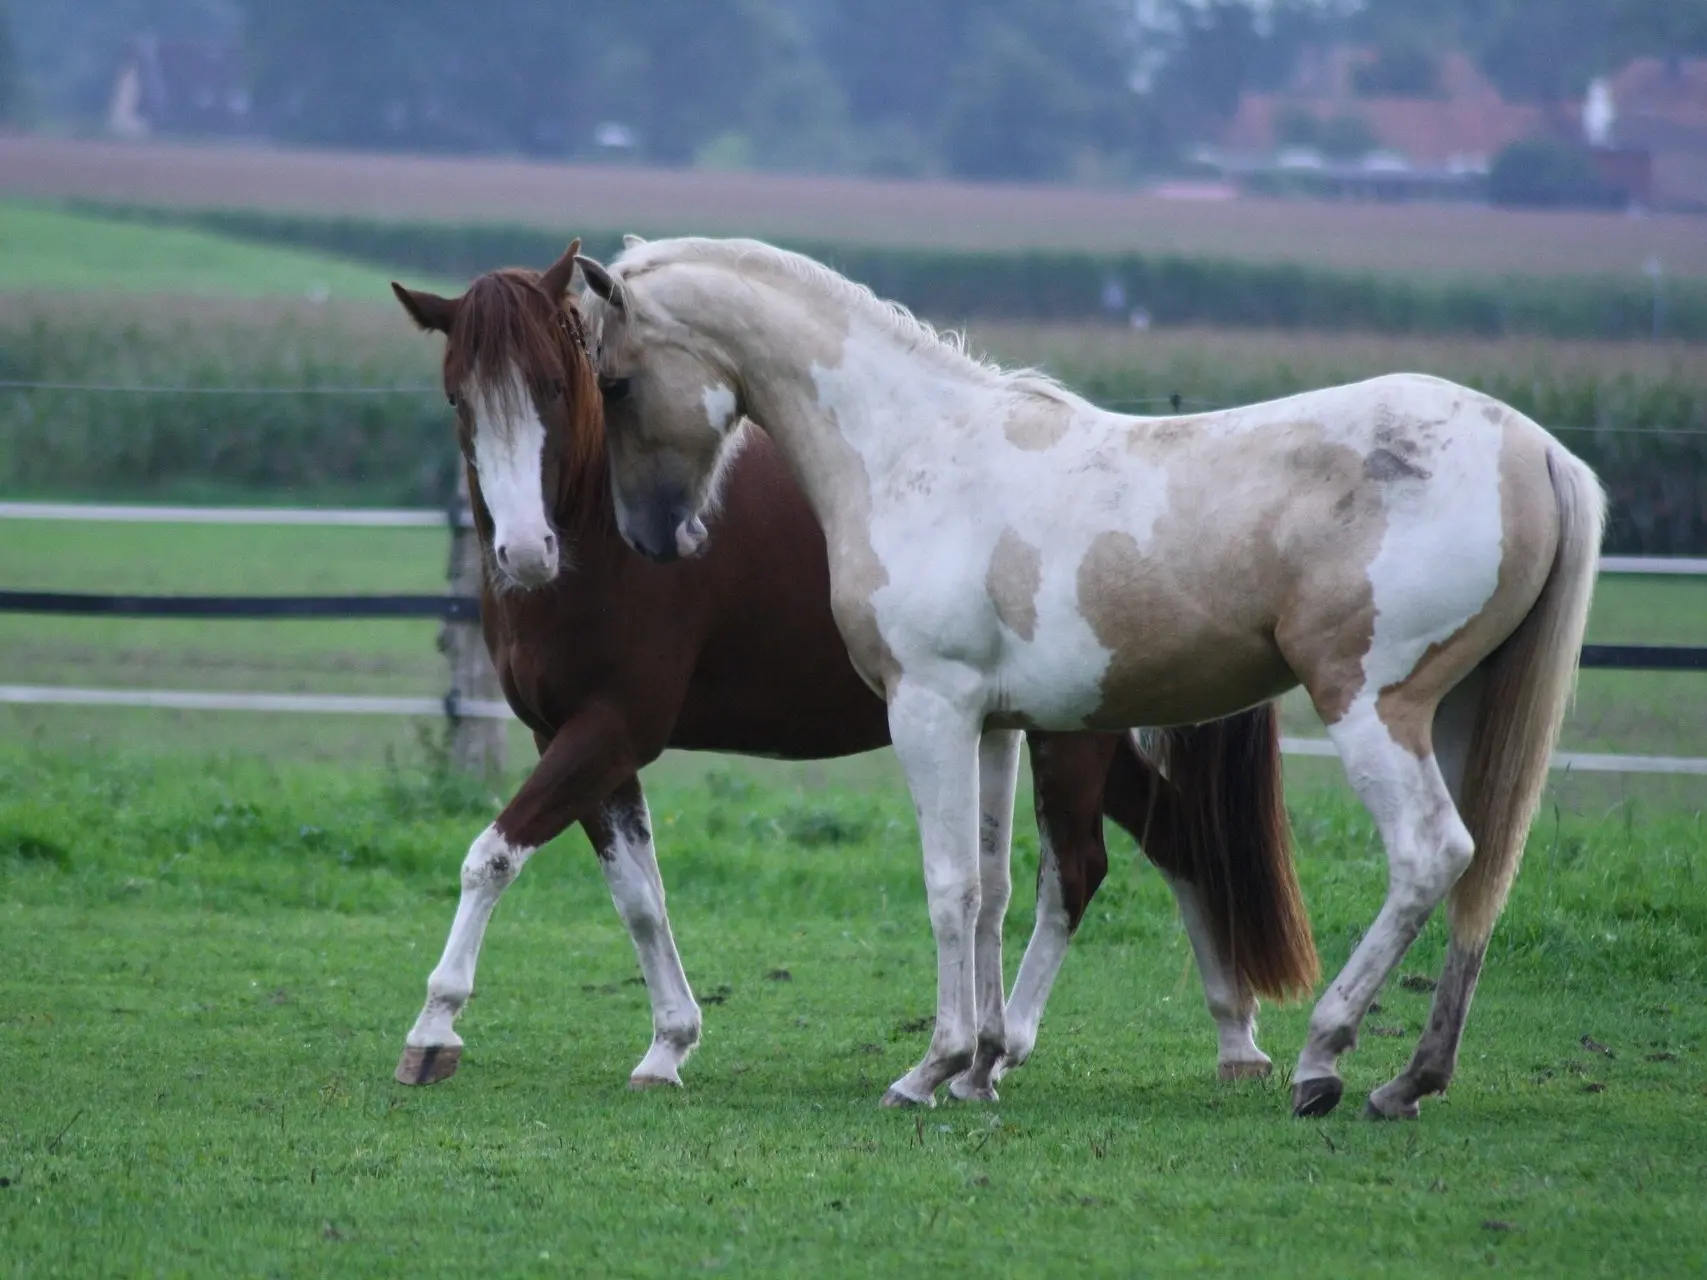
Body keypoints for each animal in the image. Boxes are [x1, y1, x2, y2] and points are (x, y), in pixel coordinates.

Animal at [387, 238, 1597, 1119]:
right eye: (458, 398)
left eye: (605, 381)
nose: (655, 539)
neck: (912, 449)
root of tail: (1534, 448)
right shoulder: (986, 721)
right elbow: (986, 886)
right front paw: (975, 1063)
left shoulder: (925, 710)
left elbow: (949, 889)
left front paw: (932, 1066)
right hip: (1453, 716)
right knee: (1476, 872)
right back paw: (1406, 1076)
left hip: (1367, 710)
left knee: (1427, 854)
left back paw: (1323, 1054)